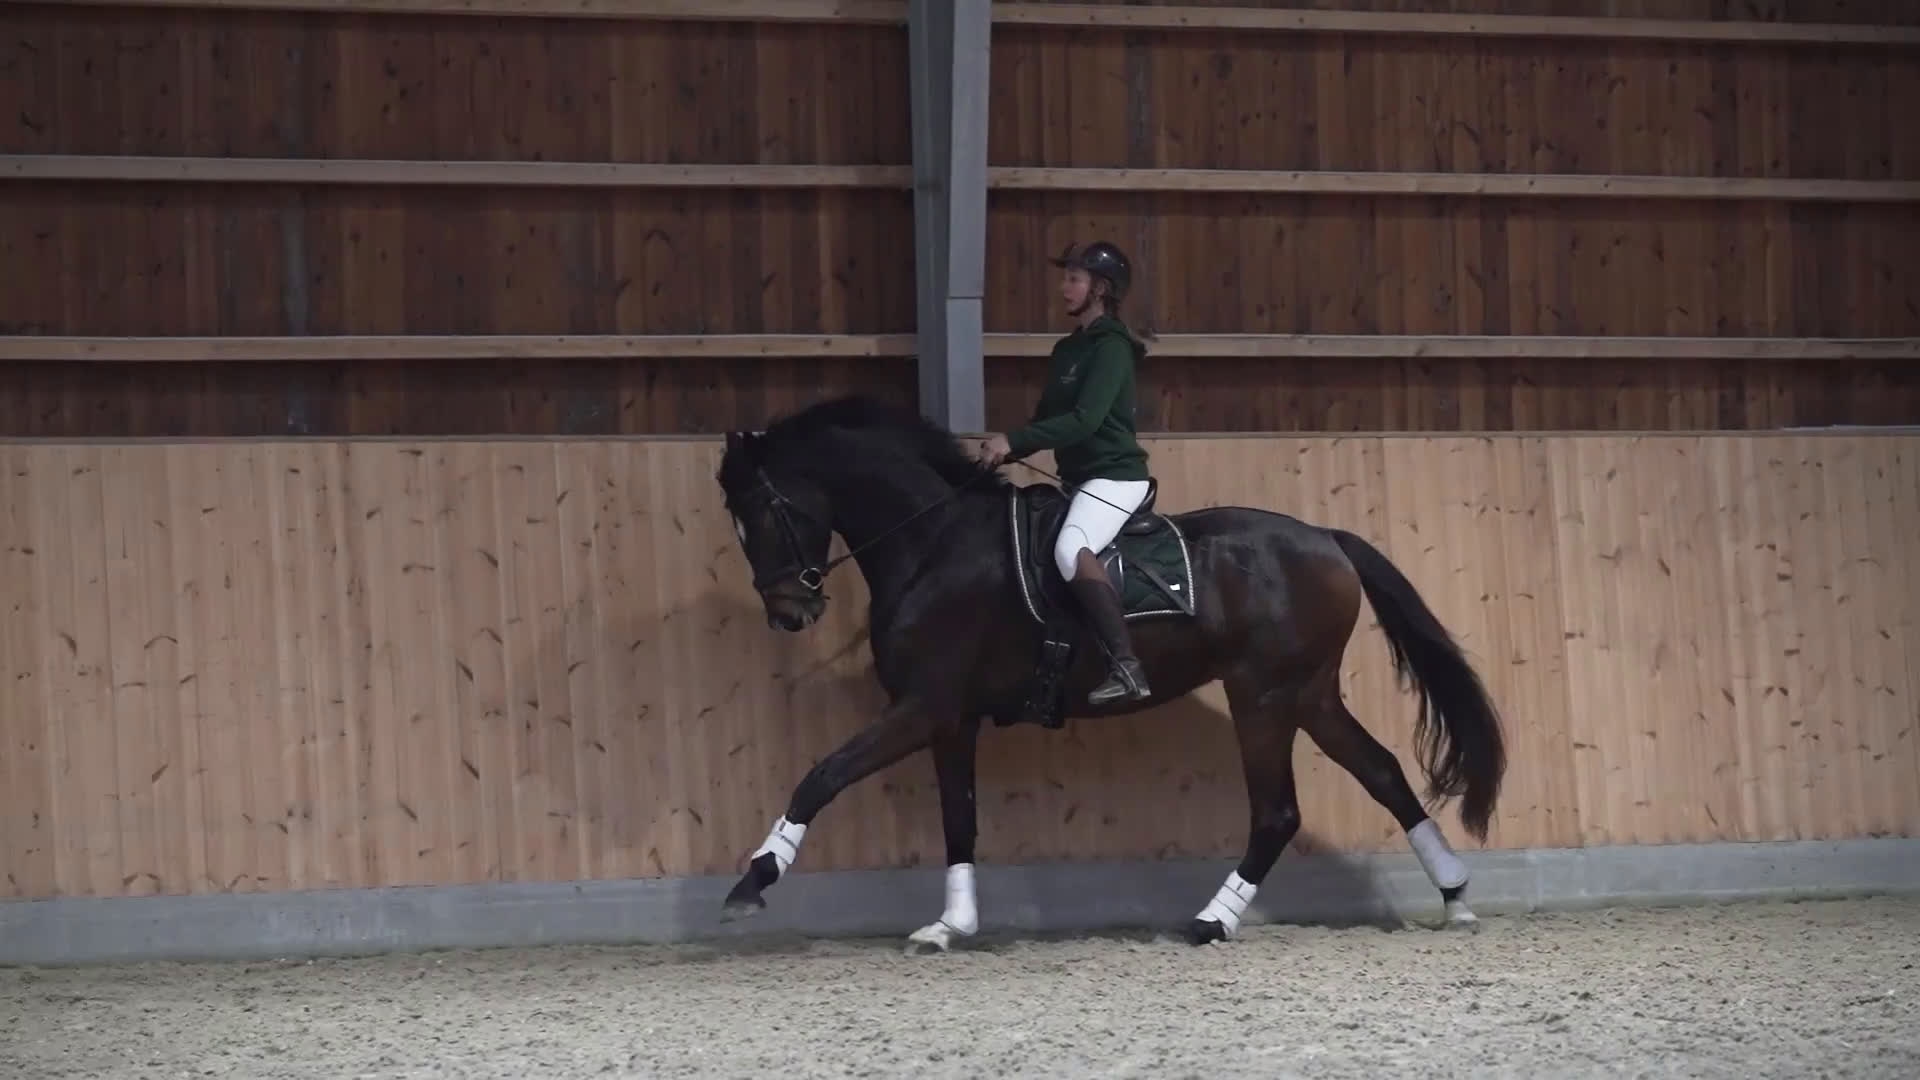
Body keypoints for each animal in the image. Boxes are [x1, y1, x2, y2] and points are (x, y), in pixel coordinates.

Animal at [712, 394, 1506, 951]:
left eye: (763, 512)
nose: (789, 612)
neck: (933, 543)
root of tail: (1326, 539)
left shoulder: (922, 706)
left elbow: (821, 776)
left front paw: (753, 880)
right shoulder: (951, 719)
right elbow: (958, 819)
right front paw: (952, 924)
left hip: (1262, 696)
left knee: (1278, 811)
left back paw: (1212, 920)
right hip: (1307, 694)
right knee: (1383, 773)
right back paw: (1455, 896)